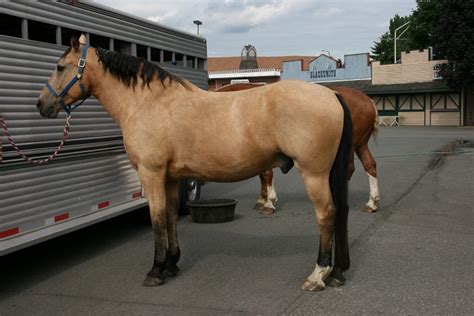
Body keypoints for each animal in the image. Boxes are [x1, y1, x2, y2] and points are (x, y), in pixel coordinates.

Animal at [38, 35, 352, 292]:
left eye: (60, 67)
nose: (41, 104)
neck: (148, 102)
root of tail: (332, 94)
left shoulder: (151, 174)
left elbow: (156, 218)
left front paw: (156, 270)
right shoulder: (171, 177)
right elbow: (170, 217)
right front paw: (171, 264)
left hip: (313, 173)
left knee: (326, 215)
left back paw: (317, 275)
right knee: (340, 213)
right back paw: (337, 272)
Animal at [217, 82, 380, 214]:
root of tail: (367, 100)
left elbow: (266, 174)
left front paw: (269, 202)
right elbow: (262, 174)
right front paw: (262, 200)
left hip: (350, 145)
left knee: (349, 169)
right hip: (360, 144)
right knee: (370, 165)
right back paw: (371, 203)